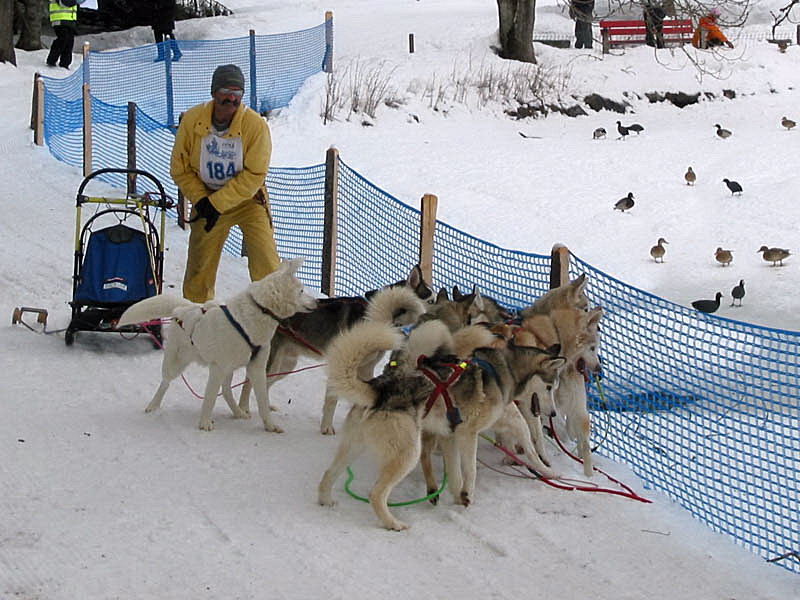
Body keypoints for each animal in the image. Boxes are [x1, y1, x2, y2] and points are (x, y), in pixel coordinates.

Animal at [117, 258, 318, 432]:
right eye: (301, 290)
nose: (317, 302)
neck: (259, 312)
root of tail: (184, 308)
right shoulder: (217, 368)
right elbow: (210, 398)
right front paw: (204, 423)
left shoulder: (256, 368)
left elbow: (262, 401)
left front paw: (270, 426)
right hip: (177, 362)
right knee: (165, 383)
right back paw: (153, 406)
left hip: (229, 368)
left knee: (226, 391)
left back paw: (238, 412)